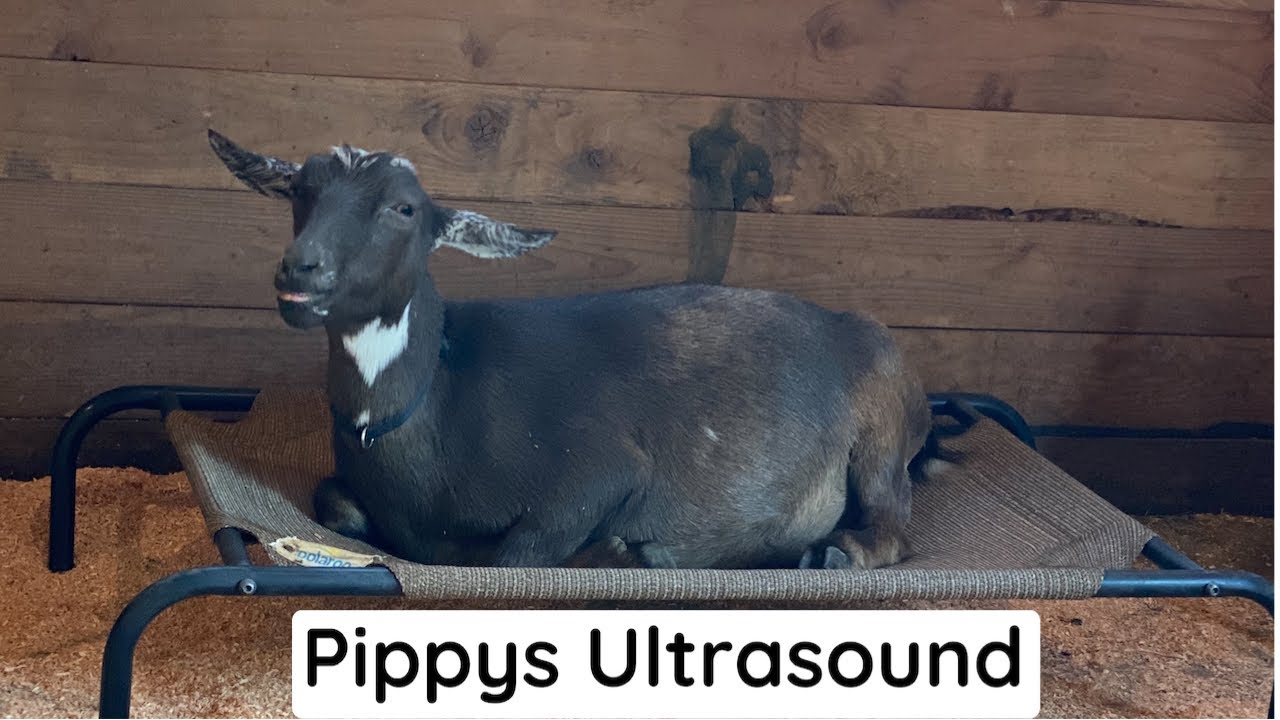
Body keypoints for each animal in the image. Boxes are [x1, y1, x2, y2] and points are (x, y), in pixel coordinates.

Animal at [208, 129, 940, 571]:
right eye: (300, 190)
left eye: (404, 208)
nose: (301, 269)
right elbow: (334, 502)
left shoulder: (600, 468)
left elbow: (515, 555)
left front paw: (621, 552)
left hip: (882, 431)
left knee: (894, 524)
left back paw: (831, 553)